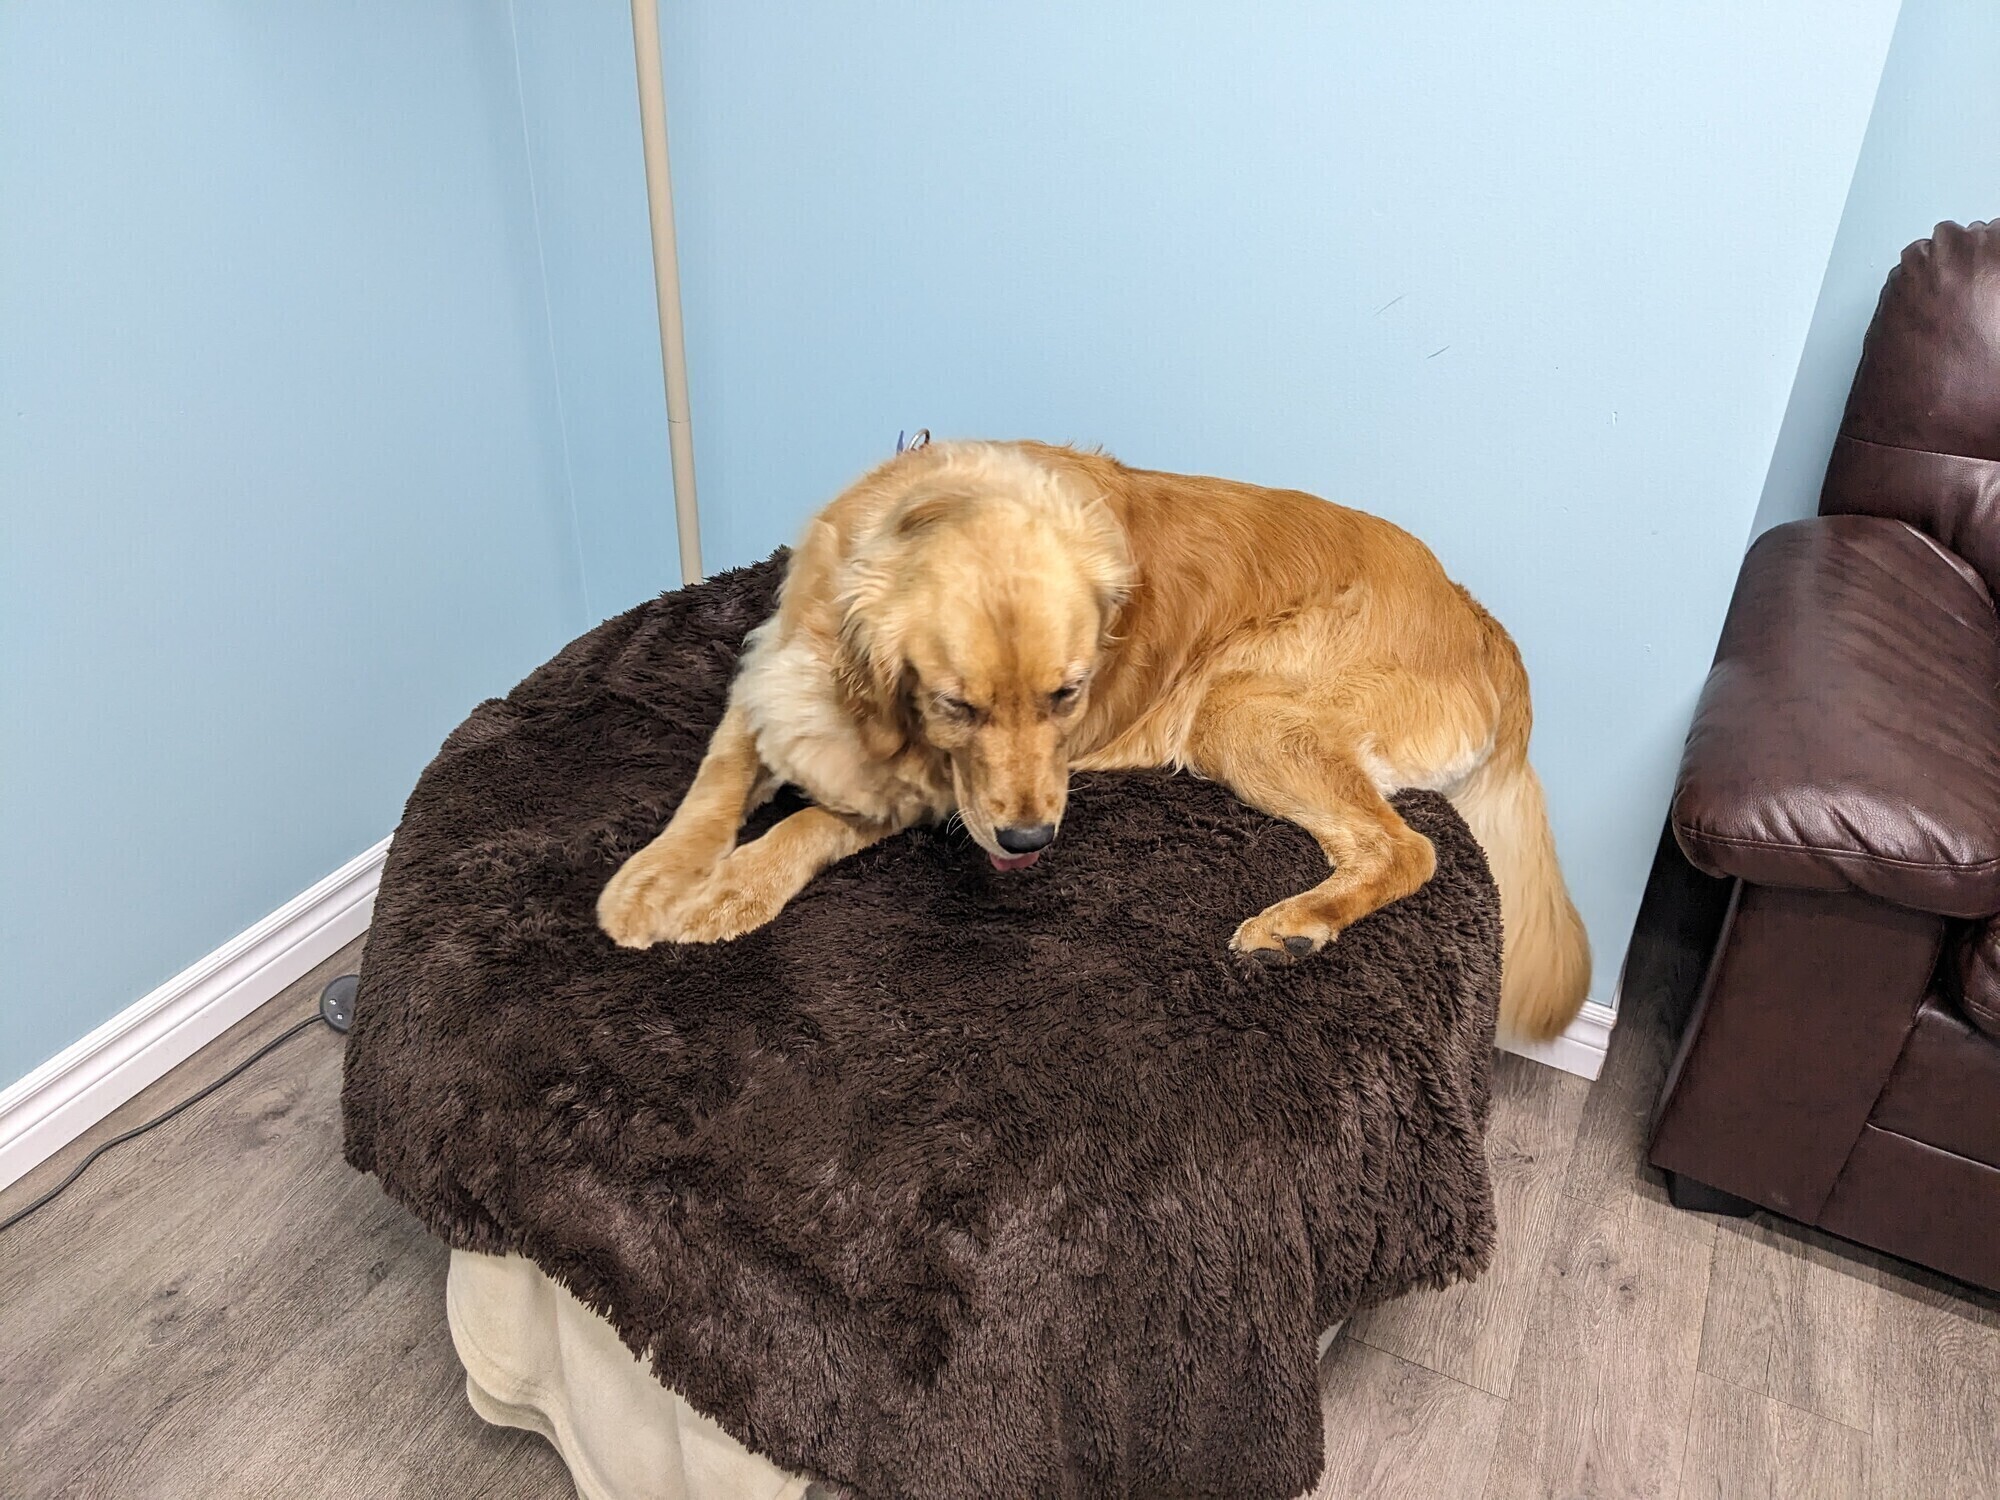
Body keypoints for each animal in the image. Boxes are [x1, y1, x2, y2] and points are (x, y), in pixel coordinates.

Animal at [592, 440, 1592, 1040]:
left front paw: (733, 888)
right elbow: (715, 778)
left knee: (1407, 846)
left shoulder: (933, 792)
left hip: (1241, 706)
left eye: (1068, 694)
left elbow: (814, 821)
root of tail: (1484, 622)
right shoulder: (766, 679)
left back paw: (1294, 928)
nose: (1030, 840)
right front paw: (654, 878)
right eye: (957, 705)